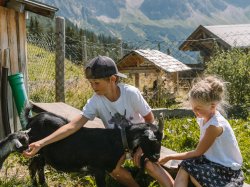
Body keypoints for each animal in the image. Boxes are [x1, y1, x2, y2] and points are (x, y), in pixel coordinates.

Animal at [0, 106, 164, 187]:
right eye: (154, 140)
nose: (156, 158)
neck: (118, 138)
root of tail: (31, 119)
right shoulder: (99, 169)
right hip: (39, 152)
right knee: (34, 166)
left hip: (42, 154)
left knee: (36, 166)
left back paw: (41, 184)